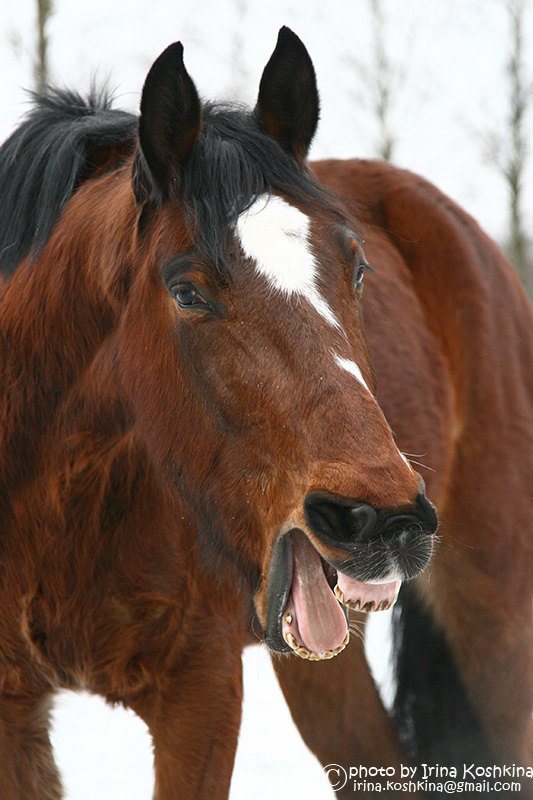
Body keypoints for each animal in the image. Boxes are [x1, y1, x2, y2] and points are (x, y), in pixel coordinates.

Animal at [0, 25, 528, 800]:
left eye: (358, 269)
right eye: (187, 291)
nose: (382, 517)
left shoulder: (202, 691)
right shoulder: (16, 707)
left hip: (494, 621)